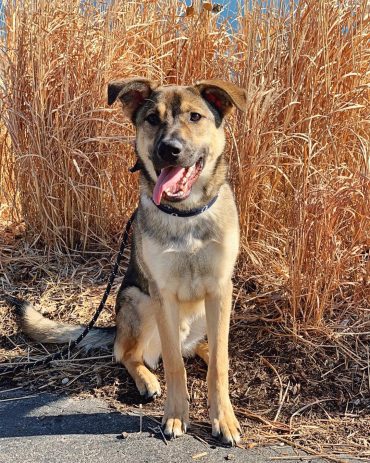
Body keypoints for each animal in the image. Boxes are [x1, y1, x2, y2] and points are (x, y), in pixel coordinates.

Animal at [7, 79, 246, 446]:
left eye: (195, 116)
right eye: (152, 118)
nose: (169, 149)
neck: (186, 214)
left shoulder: (220, 289)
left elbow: (220, 364)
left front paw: (224, 418)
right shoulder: (162, 294)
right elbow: (174, 365)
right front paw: (176, 415)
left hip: (206, 310)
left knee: (203, 348)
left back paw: (205, 354)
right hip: (138, 299)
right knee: (128, 353)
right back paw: (146, 378)